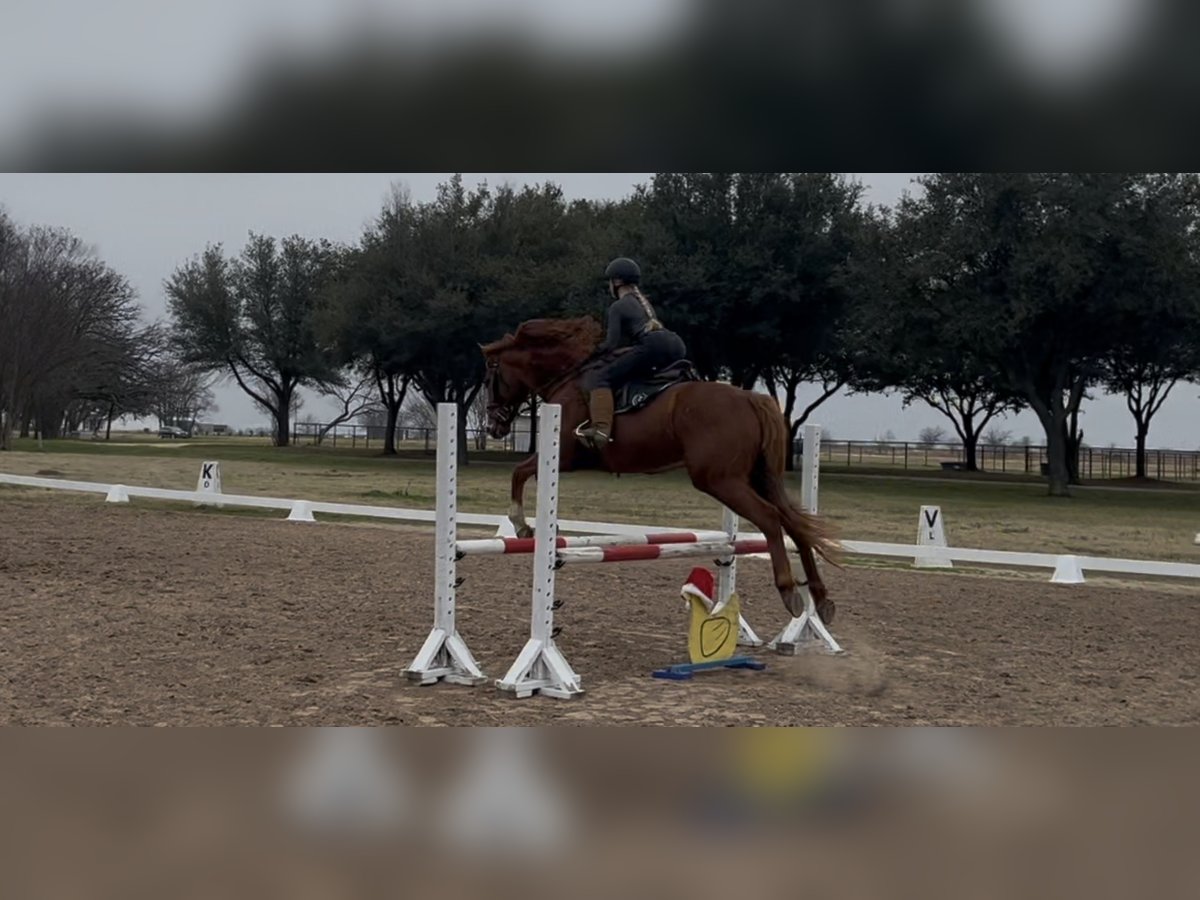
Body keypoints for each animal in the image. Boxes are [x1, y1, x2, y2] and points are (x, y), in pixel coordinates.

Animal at [475, 314, 835, 619]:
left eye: (491, 373)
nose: (494, 425)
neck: (567, 378)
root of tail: (751, 398)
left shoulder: (563, 457)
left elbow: (519, 472)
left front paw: (521, 525)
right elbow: (521, 472)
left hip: (720, 480)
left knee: (771, 519)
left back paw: (789, 591)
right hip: (757, 477)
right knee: (793, 523)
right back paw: (820, 597)